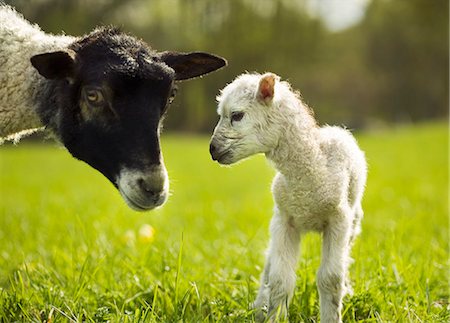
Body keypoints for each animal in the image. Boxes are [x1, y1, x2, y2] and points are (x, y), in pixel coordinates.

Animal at [209, 73, 368, 323]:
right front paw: (272, 315)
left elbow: (330, 278)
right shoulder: (285, 220)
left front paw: (331, 316)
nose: (212, 149)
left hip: (353, 222)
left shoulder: (338, 219)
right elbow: (279, 280)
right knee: (268, 263)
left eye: (236, 115)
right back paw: (258, 307)